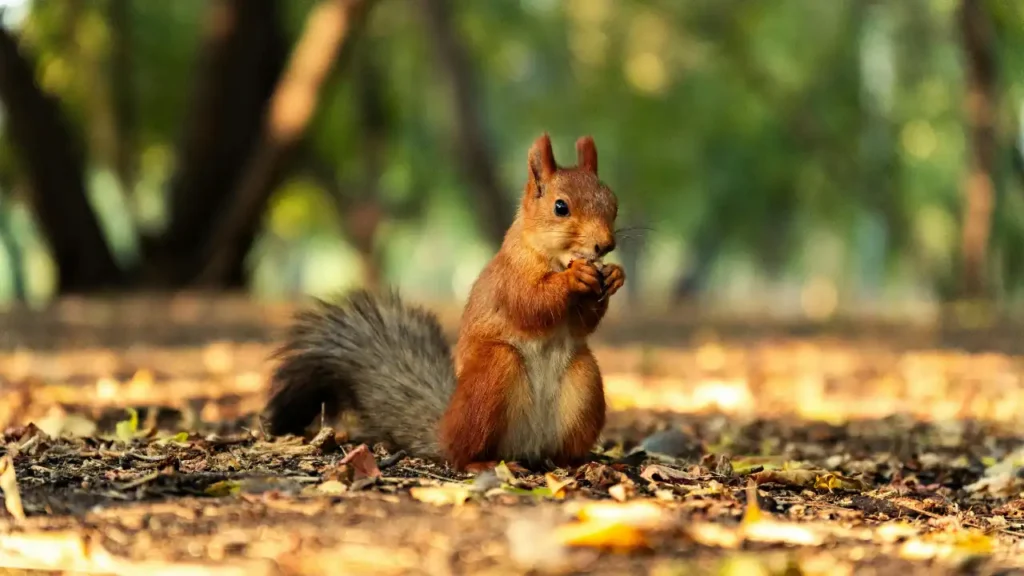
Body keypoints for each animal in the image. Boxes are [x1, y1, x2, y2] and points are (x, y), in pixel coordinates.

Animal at [261, 133, 624, 472]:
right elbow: (530, 303)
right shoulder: (509, 279)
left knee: (560, 448)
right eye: (560, 207)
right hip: (493, 374)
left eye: (613, 201)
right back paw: (481, 463)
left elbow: (582, 322)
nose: (605, 245)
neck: (553, 257)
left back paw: (578, 462)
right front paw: (573, 279)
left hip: (585, 381)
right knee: (462, 454)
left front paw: (615, 276)